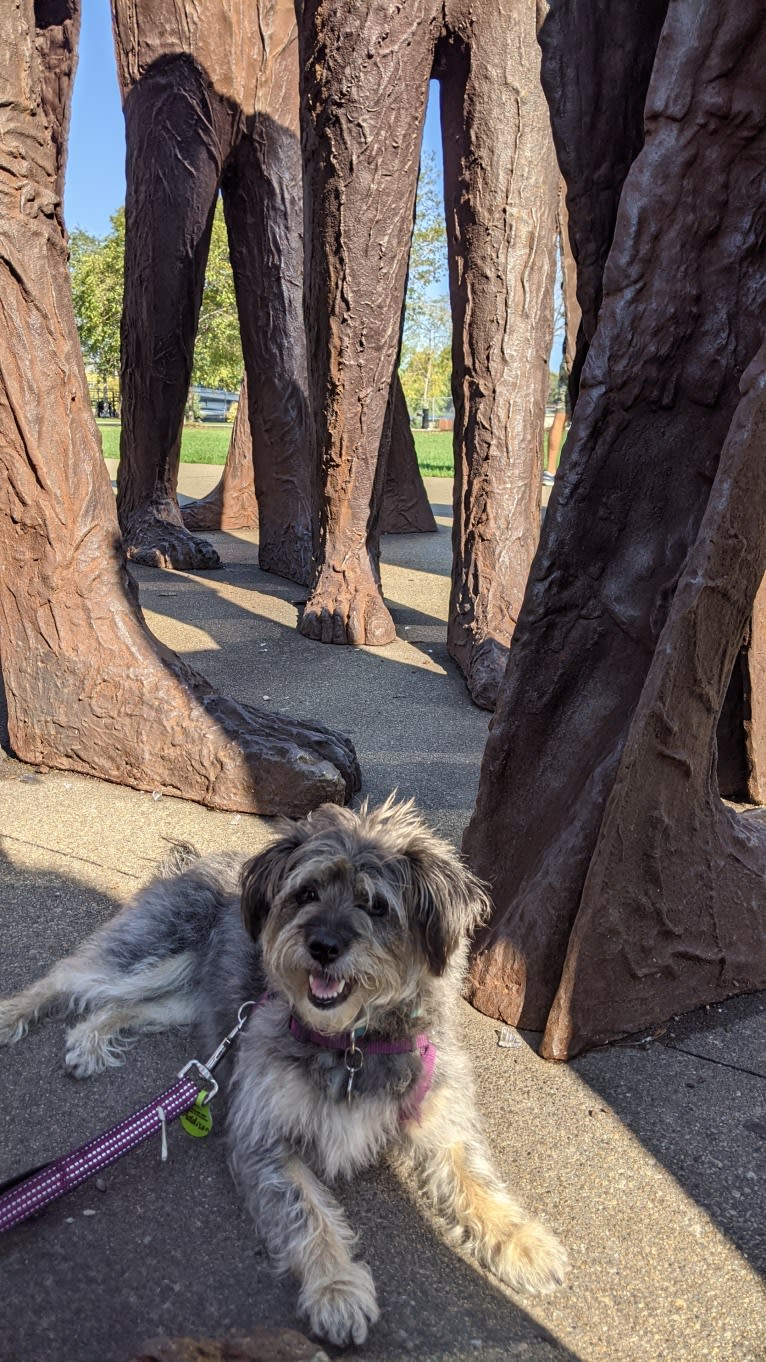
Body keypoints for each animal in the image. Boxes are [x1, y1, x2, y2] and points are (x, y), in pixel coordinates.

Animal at [0, 795, 561, 1340]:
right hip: (147, 956)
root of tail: (199, 861)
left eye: (376, 905)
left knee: (121, 1008)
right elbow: (306, 1212)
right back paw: (12, 1016)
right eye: (307, 893)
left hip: (190, 999)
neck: (351, 1043)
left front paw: (522, 1241)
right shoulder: (266, 1137)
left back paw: (89, 1040)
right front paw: (336, 1288)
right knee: (68, 980)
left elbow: (475, 1178)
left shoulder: (442, 1125)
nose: (323, 947)